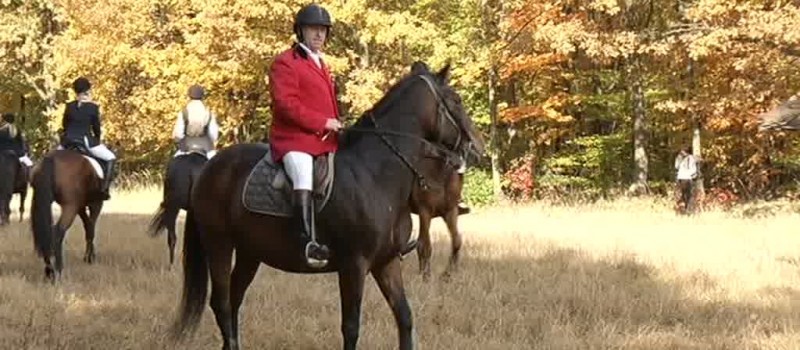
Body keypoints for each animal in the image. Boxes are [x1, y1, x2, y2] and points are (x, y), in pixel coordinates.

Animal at [30, 146, 108, 284]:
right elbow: (91, 228)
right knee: (58, 231)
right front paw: (90, 258)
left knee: (47, 232)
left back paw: (49, 271)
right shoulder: (96, 204)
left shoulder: (80, 207)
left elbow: (87, 226)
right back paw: (58, 271)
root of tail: (50, 159)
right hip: (70, 207)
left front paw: (88, 257)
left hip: (43, 202)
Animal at [172, 63, 484, 350]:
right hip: (219, 244)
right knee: (222, 303)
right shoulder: (354, 265)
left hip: (251, 252)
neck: (375, 172)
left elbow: (404, 317)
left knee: (234, 299)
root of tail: (209, 167)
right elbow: (351, 327)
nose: (478, 147)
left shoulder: (386, 261)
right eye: (456, 100)